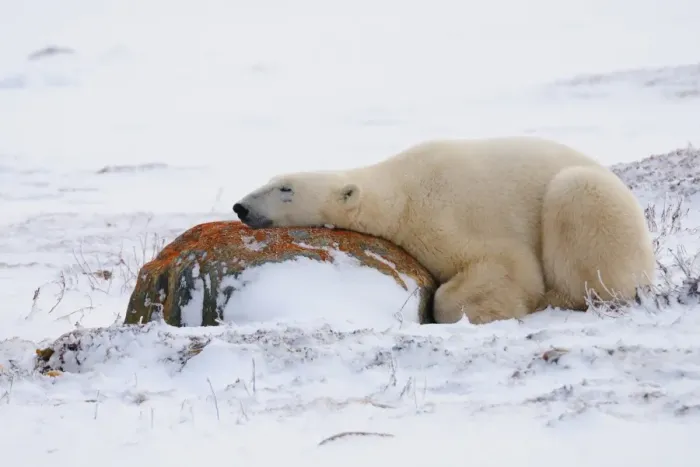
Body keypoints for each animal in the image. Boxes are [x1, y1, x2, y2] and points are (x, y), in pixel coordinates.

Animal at [232, 136, 656, 325]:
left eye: (285, 189)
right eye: (270, 180)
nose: (241, 207)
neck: (400, 192)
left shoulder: (450, 213)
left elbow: (510, 266)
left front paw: (484, 311)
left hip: (595, 204)